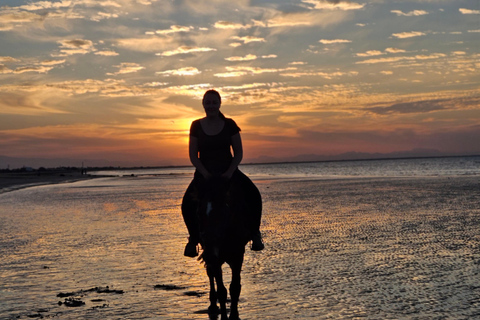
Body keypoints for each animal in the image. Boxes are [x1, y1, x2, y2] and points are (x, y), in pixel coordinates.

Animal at [196, 178, 256, 320]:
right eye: (199, 213)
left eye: (223, 213)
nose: (208, 254)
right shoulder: (214, 259)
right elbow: (221, 290)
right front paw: (224, 316)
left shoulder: (238, 255)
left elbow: (235, 287)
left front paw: (234, 315)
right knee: (211, 276)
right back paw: (213, 305)